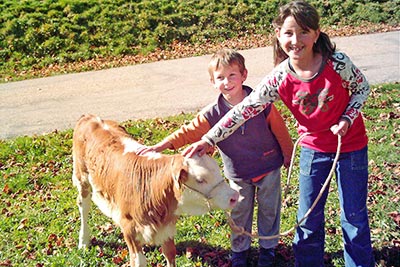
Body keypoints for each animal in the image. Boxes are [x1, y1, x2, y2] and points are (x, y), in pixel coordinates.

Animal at [72, 115, 239, 267]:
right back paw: (84, 241)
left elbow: (170, 254)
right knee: (84, 207)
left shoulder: (167, 227)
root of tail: (90, 117)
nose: (234, 196)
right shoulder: (129, 228)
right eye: (200, 179)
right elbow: (139, 261)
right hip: (82, 178)